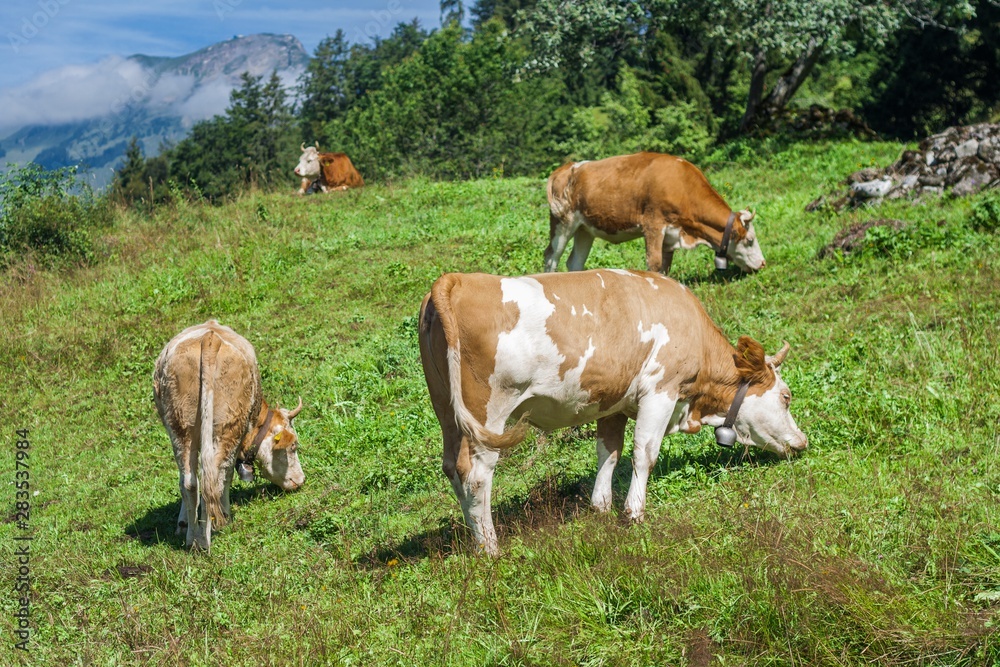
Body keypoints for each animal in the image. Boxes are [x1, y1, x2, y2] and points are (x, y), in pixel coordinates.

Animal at [153, 320, 304, 552]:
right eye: (294, 446)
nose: (301, 480)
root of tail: (210, 336)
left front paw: (183, 523)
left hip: (180, 427)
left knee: (190, 482)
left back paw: (192, 539)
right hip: (228, 427)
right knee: (216, 476)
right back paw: (211, 534)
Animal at [418, 268, 808, 556]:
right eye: (786, 396)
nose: (802, 442)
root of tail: (456, 279)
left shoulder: (614, 400)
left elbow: (608, 451)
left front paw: (600, 507)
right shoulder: (660, 390)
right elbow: (643, 453)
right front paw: (634, 512)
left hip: (446, 410)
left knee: (453, 467)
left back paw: (474, 540)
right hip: (488, 412)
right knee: (477, 475)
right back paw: (490, 548)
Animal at [548, 153, 764, 276]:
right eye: (750, 240)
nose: (763, 264)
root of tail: (567, 167)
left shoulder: (671, 236)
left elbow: (665, 267)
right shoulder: (653, 225)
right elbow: (654, 263)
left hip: (584, 229)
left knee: (574, 262)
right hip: (562, 223)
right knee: (551, 257)